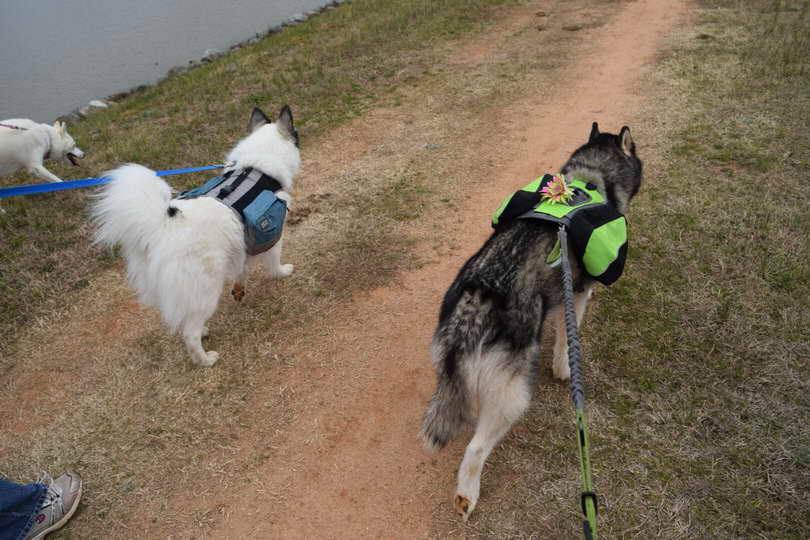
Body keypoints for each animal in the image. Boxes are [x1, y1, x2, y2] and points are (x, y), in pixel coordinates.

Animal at [91, 105, 300, 368]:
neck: (256, 170)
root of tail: (160, 228)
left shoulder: (242, 242)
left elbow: (242, 268)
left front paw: (239, 289)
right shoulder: (271, 231)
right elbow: (273, 262)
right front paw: (282, 272)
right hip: (205, 289)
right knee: (189, 333)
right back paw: (205, 359)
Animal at [420, 121, 640, 520]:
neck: (588, 180)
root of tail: (478, 297)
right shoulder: (575, 294)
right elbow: (567, 340)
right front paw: (565, 369)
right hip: (513, 393)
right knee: (476, 447)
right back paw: (467, 495)